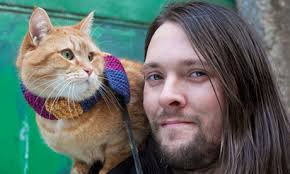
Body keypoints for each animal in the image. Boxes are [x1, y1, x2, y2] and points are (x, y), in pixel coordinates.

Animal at [16, 7, 147, 173]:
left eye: (90, 56)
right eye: (67, 54)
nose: (89, 70)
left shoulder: (126, 143)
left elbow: (110, 165)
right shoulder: (79, 158)